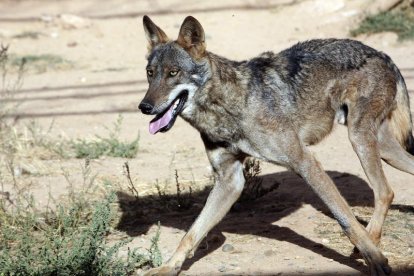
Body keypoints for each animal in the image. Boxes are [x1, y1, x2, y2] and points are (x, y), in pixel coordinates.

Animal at [137, 15, 412, 276]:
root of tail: (383, 55)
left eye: (173, 73)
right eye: (150, 73)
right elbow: (191, 234)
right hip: (383, 149)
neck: (228, 105)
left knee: (384, 192)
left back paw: (369, 245)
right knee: (390, 188)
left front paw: (376, 260)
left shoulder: (305, 161)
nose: (144, 107)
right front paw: (168, 267)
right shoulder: (229, 180)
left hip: (359, 138)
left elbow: (345, 219)